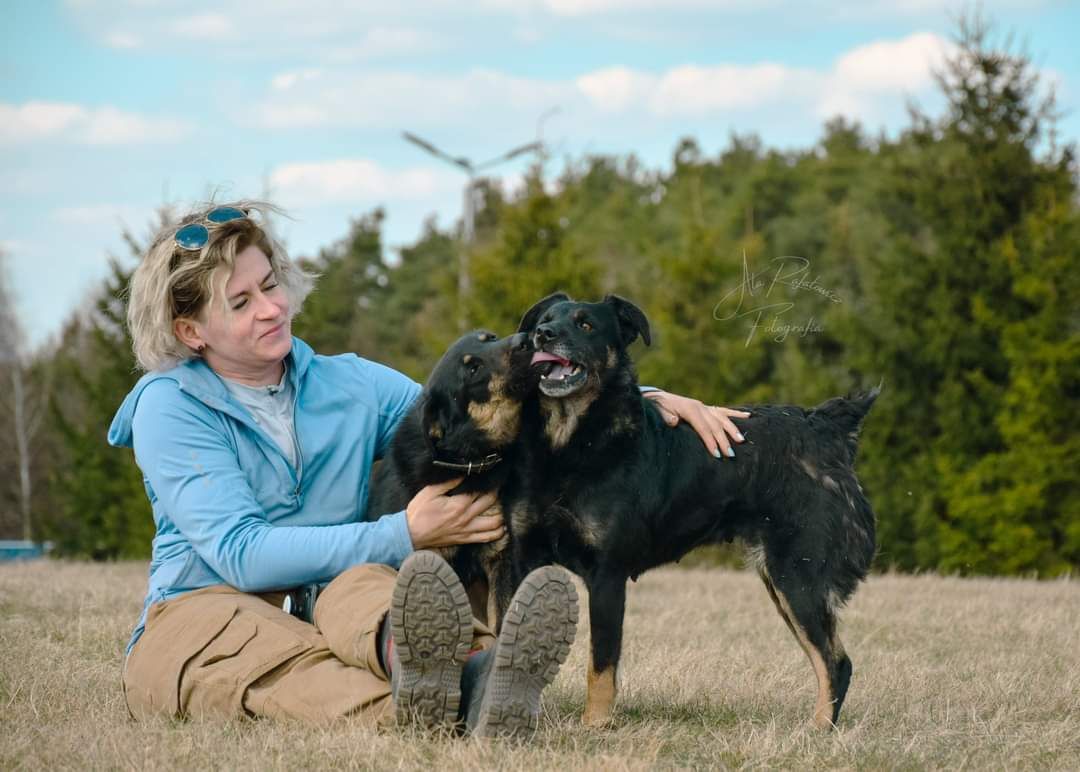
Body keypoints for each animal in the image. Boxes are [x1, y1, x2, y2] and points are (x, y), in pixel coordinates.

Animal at [505, 293, 876, 729]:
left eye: (585, 325)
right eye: (543, 320)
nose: (543, 335)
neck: (571, 443)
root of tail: (827, 429)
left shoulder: (607, 575)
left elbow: (601, 663)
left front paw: (595, 725)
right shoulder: (526, 559)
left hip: (798, 577)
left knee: (835, 661)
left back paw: (817, 729)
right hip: (784, 581)